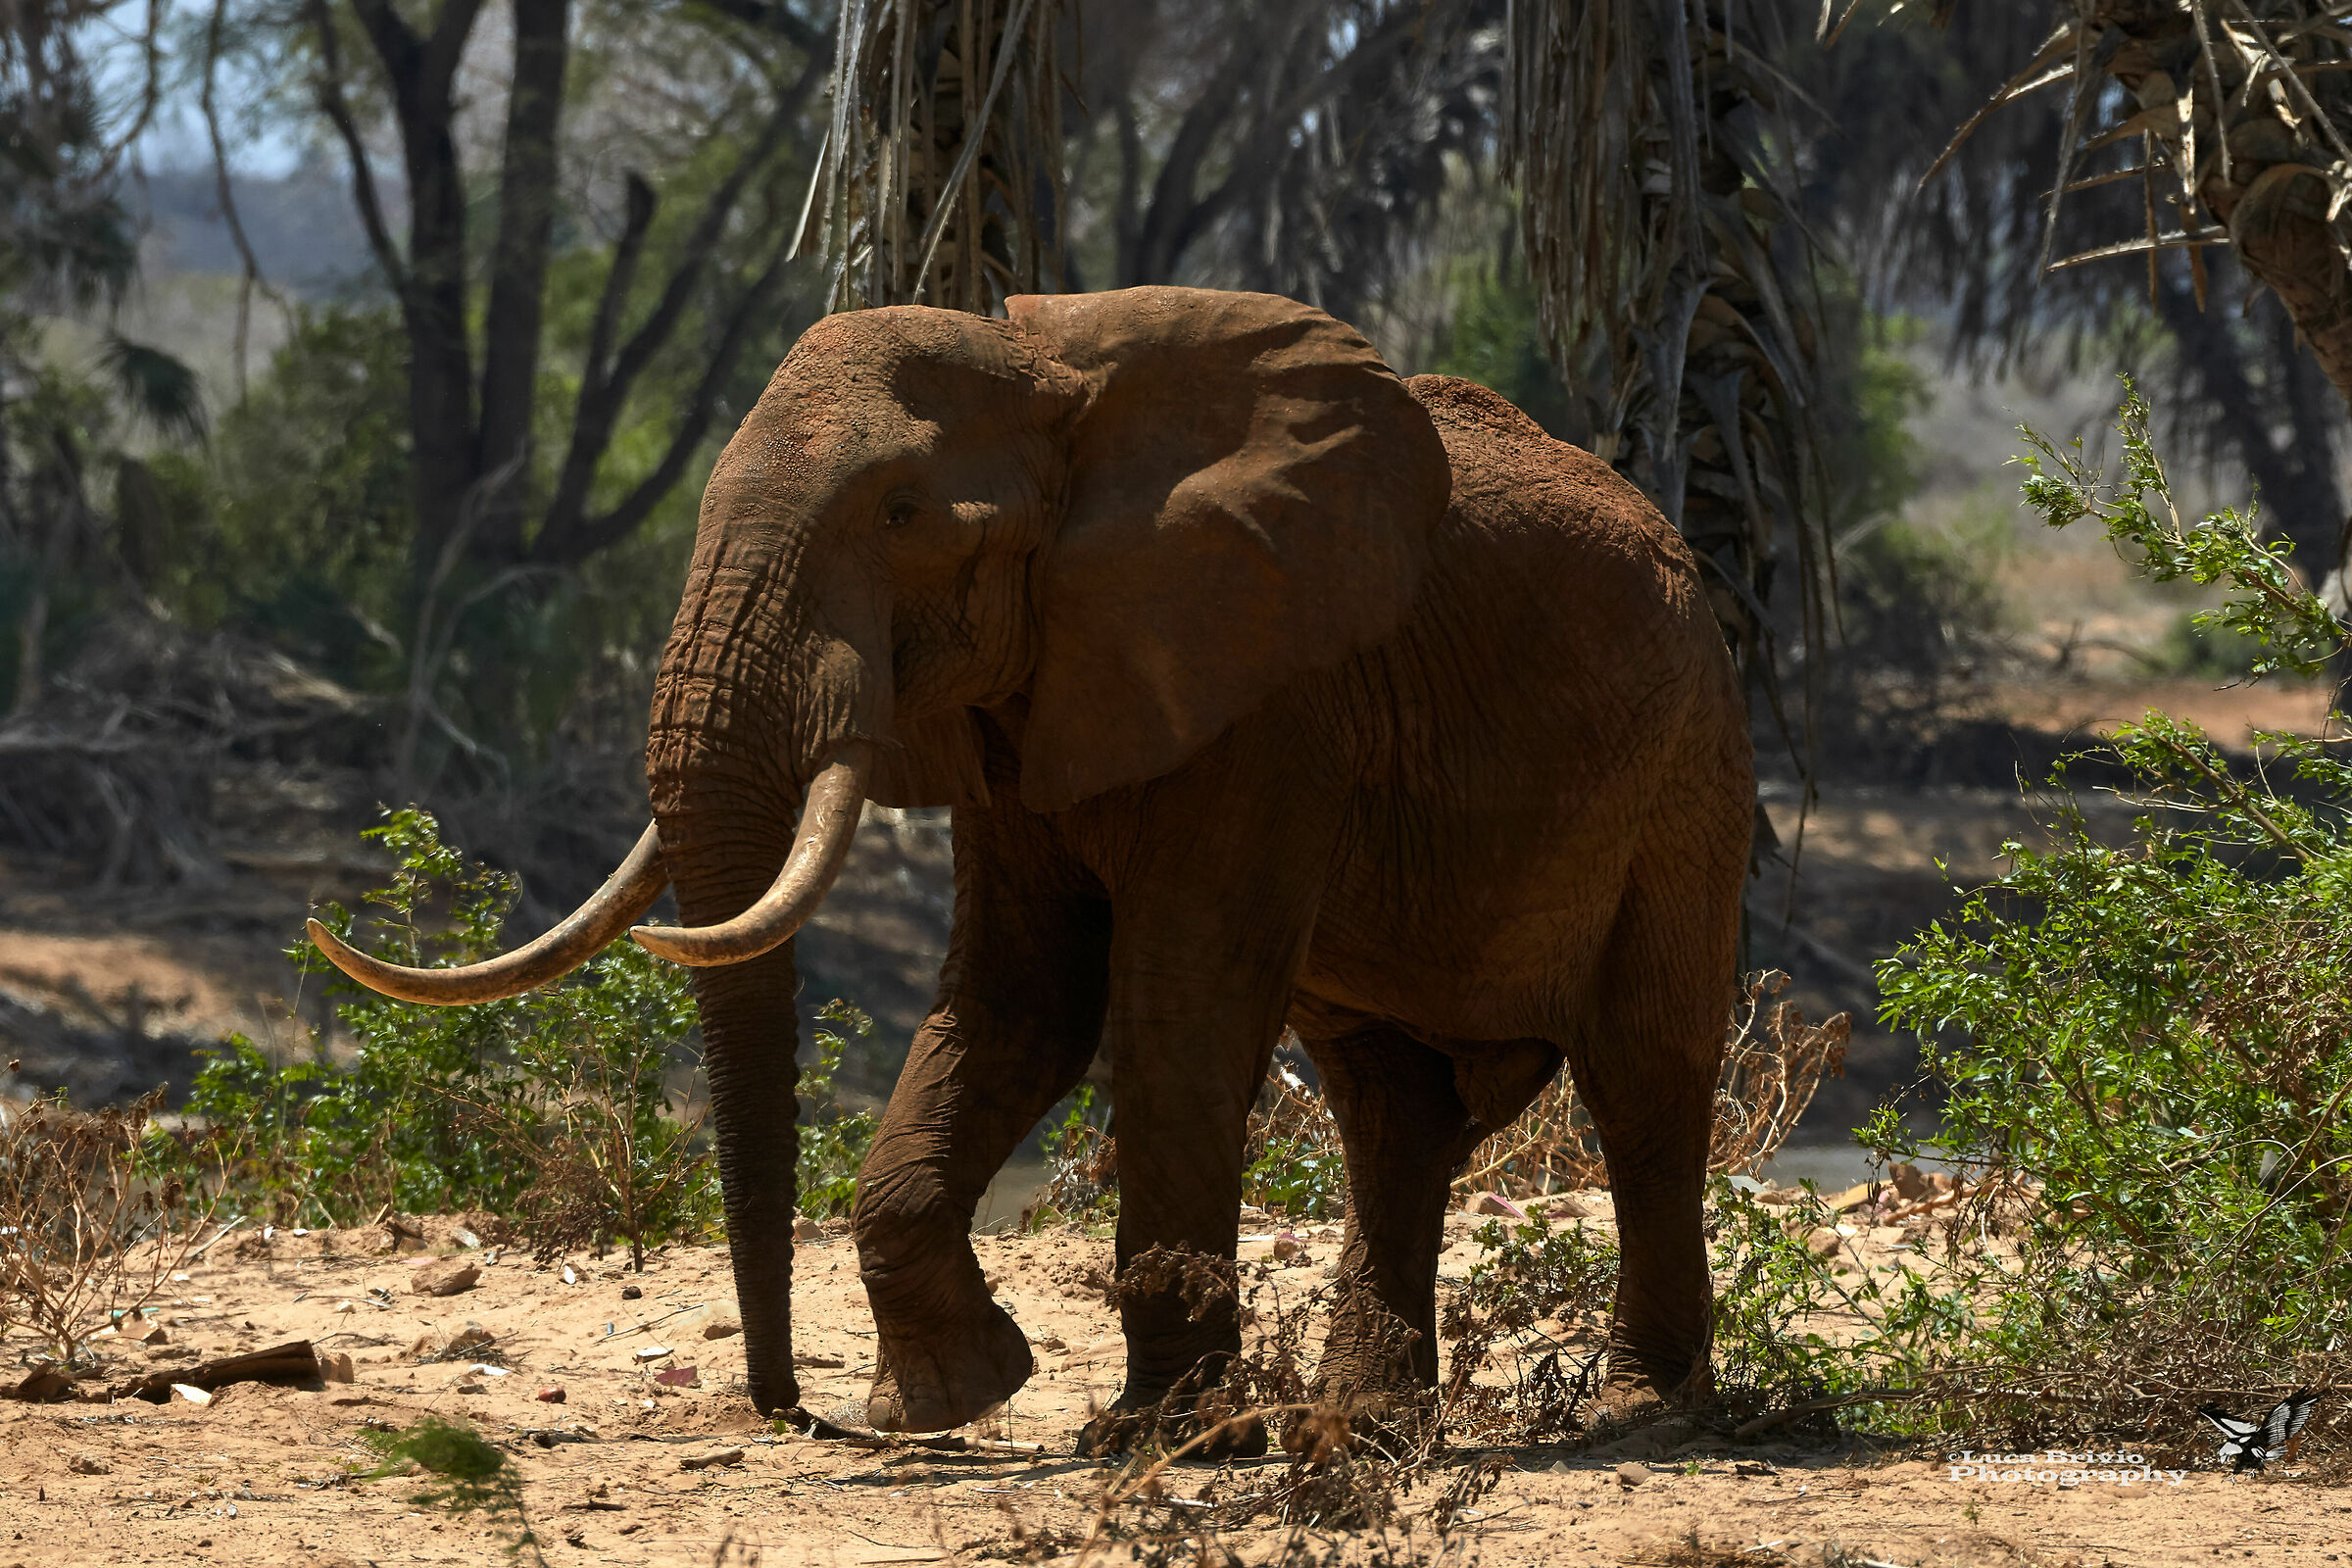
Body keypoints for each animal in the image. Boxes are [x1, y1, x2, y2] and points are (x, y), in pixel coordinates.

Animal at [311, 284, 1752, 1453]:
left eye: (900, 513)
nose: (791, 1411)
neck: (1055, 379)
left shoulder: (1270, 693)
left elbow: (1174, 1012)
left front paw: (1161, 1439)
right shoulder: (1032, 707)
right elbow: (1018, 1001)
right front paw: (954, 1396)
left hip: (1688, 766)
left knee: (1642, 1073)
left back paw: (1642, 1406)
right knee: (1385, 1102)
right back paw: (1367, 1424)